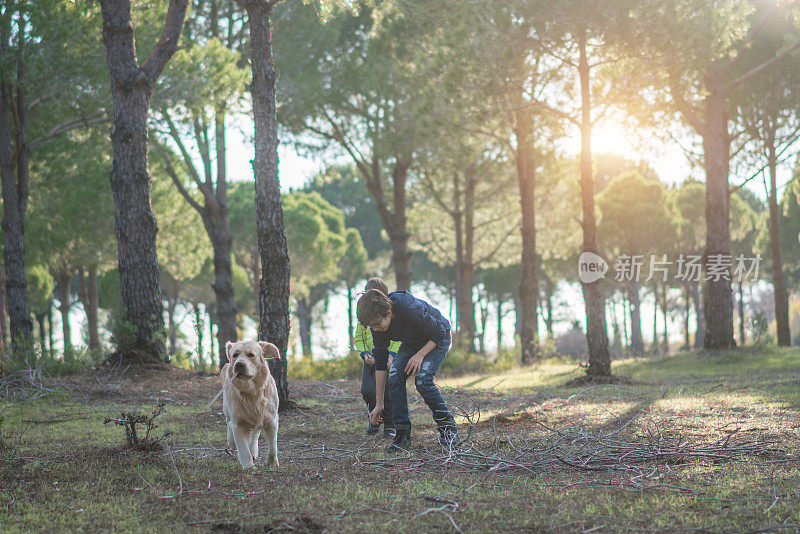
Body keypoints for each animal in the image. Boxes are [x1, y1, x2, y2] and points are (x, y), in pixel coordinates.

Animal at [220, 342, 280, 472]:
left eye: (251, 355)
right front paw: (248, 466)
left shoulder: (271, 419)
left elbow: (273, 447)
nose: (239, 364)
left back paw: (253, 449)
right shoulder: (238, 423)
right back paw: (232, 442)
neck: (251, 392)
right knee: (229, 423)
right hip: (227, 410)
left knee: (256, 432)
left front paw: (272, 463)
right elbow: (243, 448)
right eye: (235, 355)